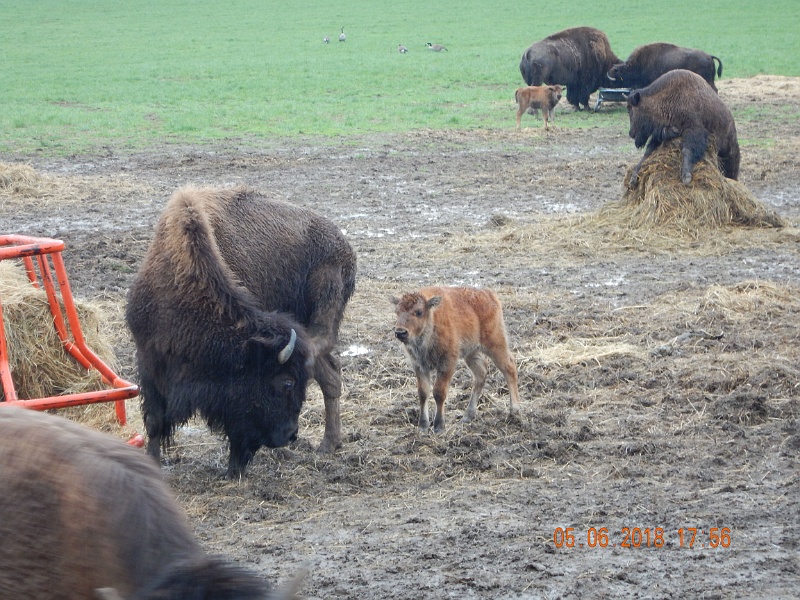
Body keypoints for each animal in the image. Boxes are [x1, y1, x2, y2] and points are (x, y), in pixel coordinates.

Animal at [126, 186, 356, 477]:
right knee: (331, 375)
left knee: (328, 370)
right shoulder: (148, 359)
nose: (290, 434)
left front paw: (234, 469)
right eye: (286, 382)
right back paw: (330, 444)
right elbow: (155, 420)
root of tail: (344, 248)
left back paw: (327, 444)